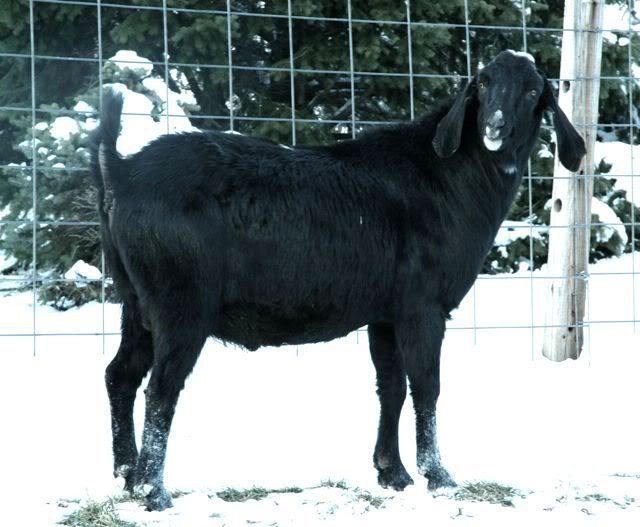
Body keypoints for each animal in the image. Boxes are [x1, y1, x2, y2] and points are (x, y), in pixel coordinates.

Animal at [91, 50, 585, 511]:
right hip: (180, 301)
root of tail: (122, 173)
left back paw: (126, 476)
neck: (448, 178)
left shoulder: (385, 313)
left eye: (533, 90)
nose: (496, 126)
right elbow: (427, 385)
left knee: (120, 375)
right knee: (161, 388)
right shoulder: (422, 305)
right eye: (482, 83)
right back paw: (154, 491)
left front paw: (393, 472)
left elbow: (391, 386)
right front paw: (439, 476)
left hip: (136, 301)